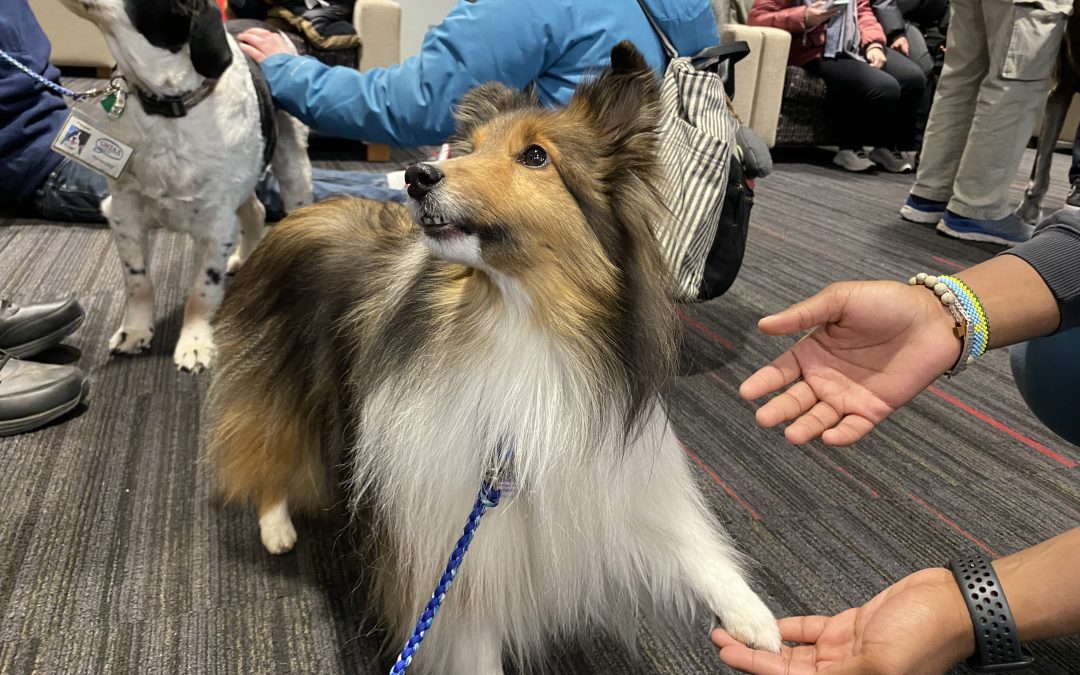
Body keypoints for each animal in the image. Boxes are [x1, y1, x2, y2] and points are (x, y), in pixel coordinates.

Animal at [58, 0, 311, 371]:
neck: (168, 105)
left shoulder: (215, 224)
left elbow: (202, 291)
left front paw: (195, 343)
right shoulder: (124, 211)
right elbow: (138, 281)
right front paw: (134, 331)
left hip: (293, 163)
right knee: (255, 210)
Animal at [206, 43, 781, 673]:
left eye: (535, 156)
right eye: (471, 149)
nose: (416, 176)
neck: (519, 320)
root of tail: (297, 214)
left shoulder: (604, 485)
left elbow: (688, 546)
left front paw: (756, 619)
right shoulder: (457, 556)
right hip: (282, 383)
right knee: (266, 447)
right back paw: (276, 525)